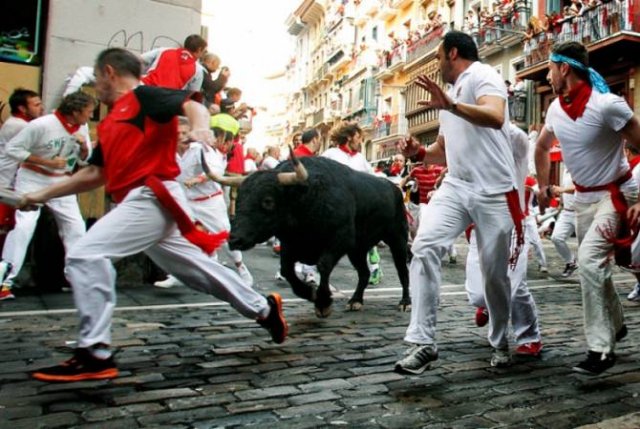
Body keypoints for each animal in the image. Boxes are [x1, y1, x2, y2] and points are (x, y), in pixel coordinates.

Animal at [230, 155, 410, 316]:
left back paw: (405, 302)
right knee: (364, 273)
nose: (234, 239)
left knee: (402, 270)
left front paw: (323, 303)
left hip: (398, 239)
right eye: (239, 199)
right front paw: (308, 293)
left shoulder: (339, 240)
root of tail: (394, 188)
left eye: (268, 201)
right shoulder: (290, 244)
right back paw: (355, 301)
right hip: (357, 250)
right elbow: (286, 269)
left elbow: (323, 265)